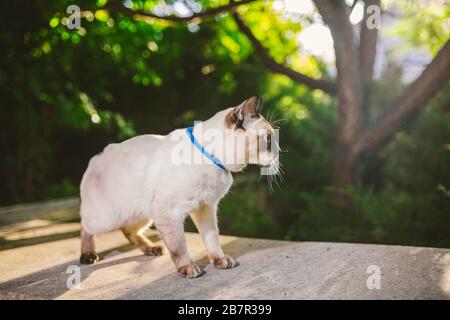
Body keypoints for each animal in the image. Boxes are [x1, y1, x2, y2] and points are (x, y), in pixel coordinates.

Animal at [79, 95, 280, 278]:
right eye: (269, 139)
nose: (279, 151)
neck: (213, 160)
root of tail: (97, 156)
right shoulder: (169, 213)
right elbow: (179, 248)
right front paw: (188, 269)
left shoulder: (205, 208)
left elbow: (212, 239)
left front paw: (220, 261)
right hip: (107, 219)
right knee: (86, 227)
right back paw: (88, 256)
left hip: (143, 214)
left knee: (128, 231)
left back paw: (152, 249)